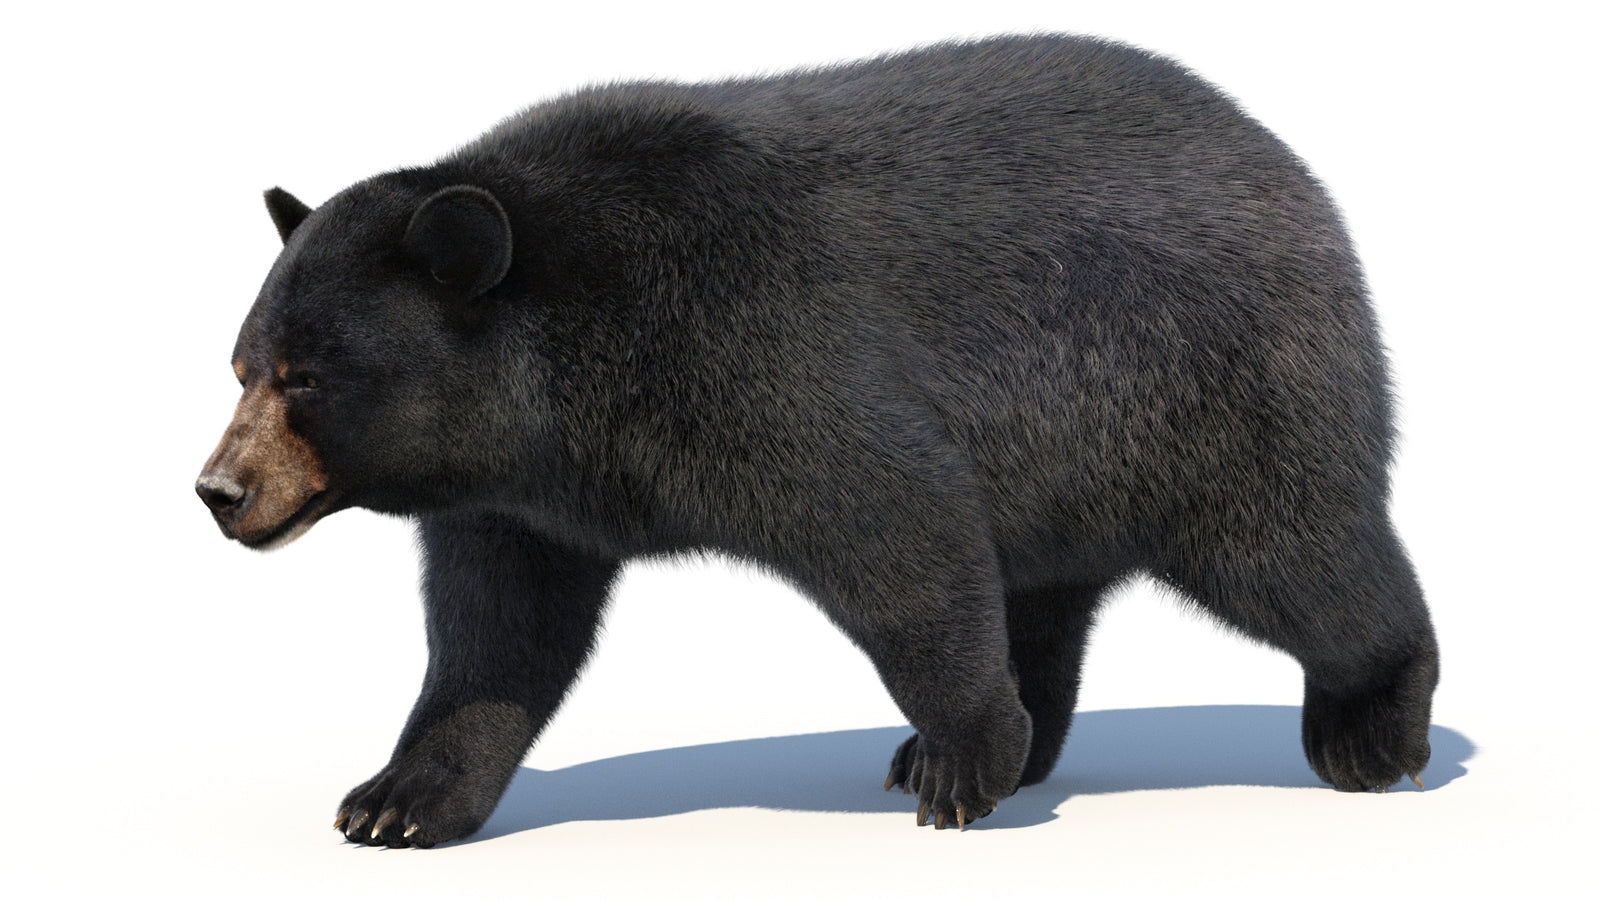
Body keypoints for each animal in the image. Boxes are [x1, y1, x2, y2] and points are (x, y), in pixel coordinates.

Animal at [196, 34, 1438, 848]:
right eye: (244, 365)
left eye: (309, 377)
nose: (219, 490)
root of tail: (1291, 171)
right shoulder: (519, 497)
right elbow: (495, 633)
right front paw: (397, 799)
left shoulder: (754, 349)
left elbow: (896, 526)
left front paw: (960, 761)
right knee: (1045, 593)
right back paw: (1021, 739)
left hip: (1197, 391)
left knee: (1296, 554)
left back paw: (1373, 726)